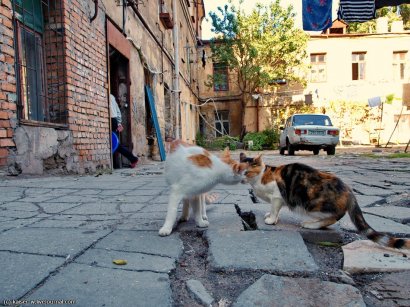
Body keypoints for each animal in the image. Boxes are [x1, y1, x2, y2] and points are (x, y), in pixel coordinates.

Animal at [240, 154, 410, 250]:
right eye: (237, 170)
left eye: (246, 172)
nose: (240, 179)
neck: (259, 179)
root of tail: (349, 190)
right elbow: (275, 210)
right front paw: (271, 216)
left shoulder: (277, 196)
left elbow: (275, 209)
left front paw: (271, 219)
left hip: (312, 205)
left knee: (334, 217)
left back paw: (310, 224)